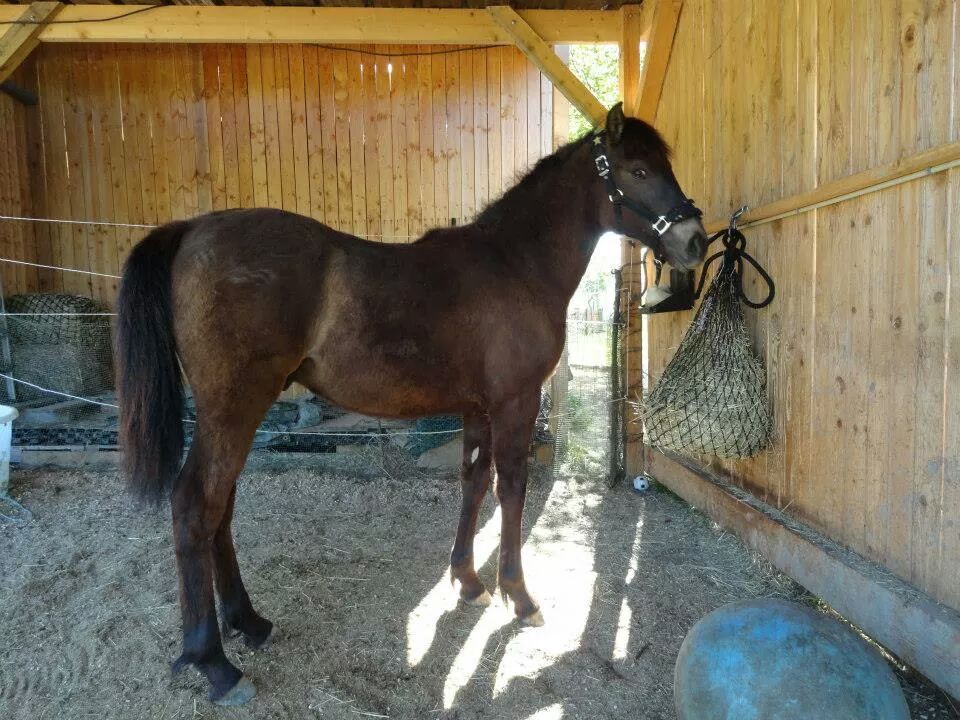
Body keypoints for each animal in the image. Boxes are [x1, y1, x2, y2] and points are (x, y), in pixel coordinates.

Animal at [115, 102, 708, 705]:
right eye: (637, 171)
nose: (695, 241)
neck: (515, 263)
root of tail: (192, 229)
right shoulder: (515, 401)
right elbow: (511, 488)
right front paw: (518, 596)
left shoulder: (477, 406)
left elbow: (475, 481)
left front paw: (468, 583)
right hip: (233, 409)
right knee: (195, 505)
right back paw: (214, 662)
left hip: (235, 413)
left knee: (221, 508)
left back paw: (248, 621)